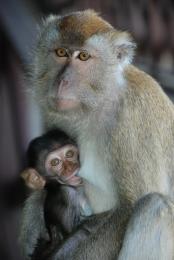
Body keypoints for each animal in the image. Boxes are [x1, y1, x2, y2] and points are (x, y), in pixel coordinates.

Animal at [27, 9, 174, 260]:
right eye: (61, 52)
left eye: (83, 57)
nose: (62, 81)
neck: (99, 102)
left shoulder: (133, 118)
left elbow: (128, 207)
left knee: (153, 206)